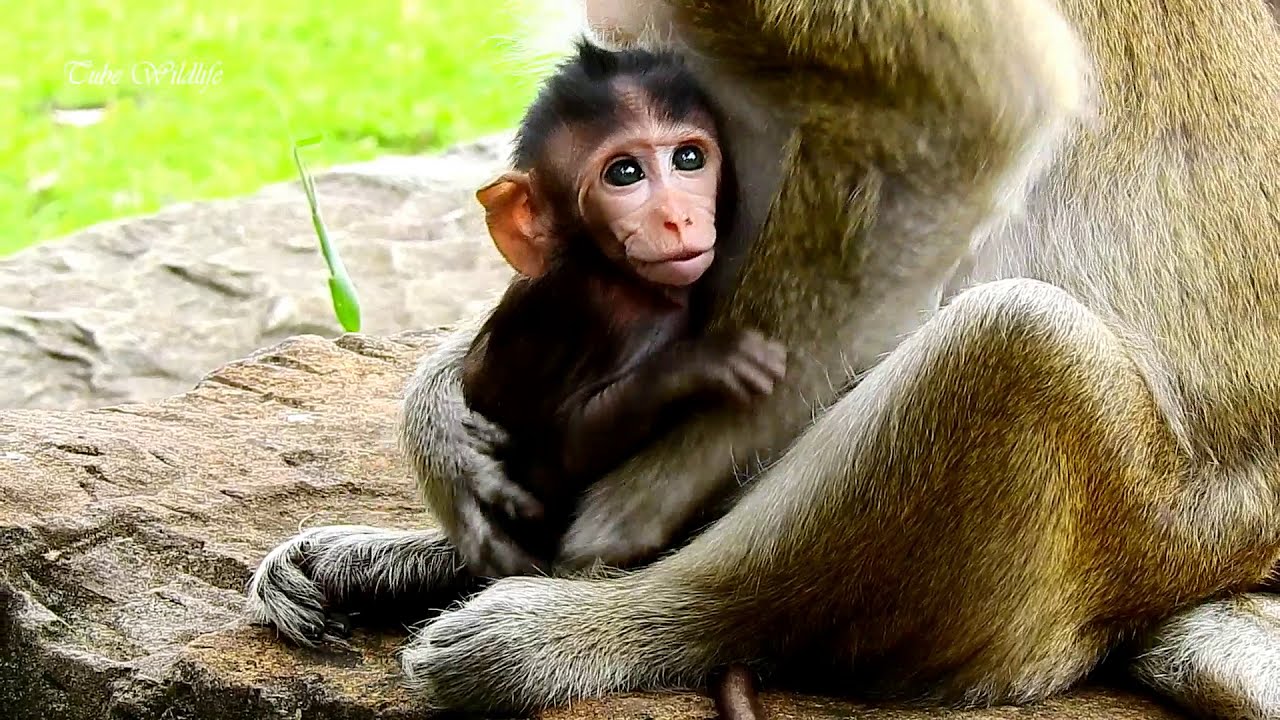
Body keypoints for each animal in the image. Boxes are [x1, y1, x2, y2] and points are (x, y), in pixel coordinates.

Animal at [459, 38, 786, 572]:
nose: (677, 218)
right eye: (625, 174)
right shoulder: (617, 317)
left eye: (688, 159)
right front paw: (703, 362)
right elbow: (567, 450)